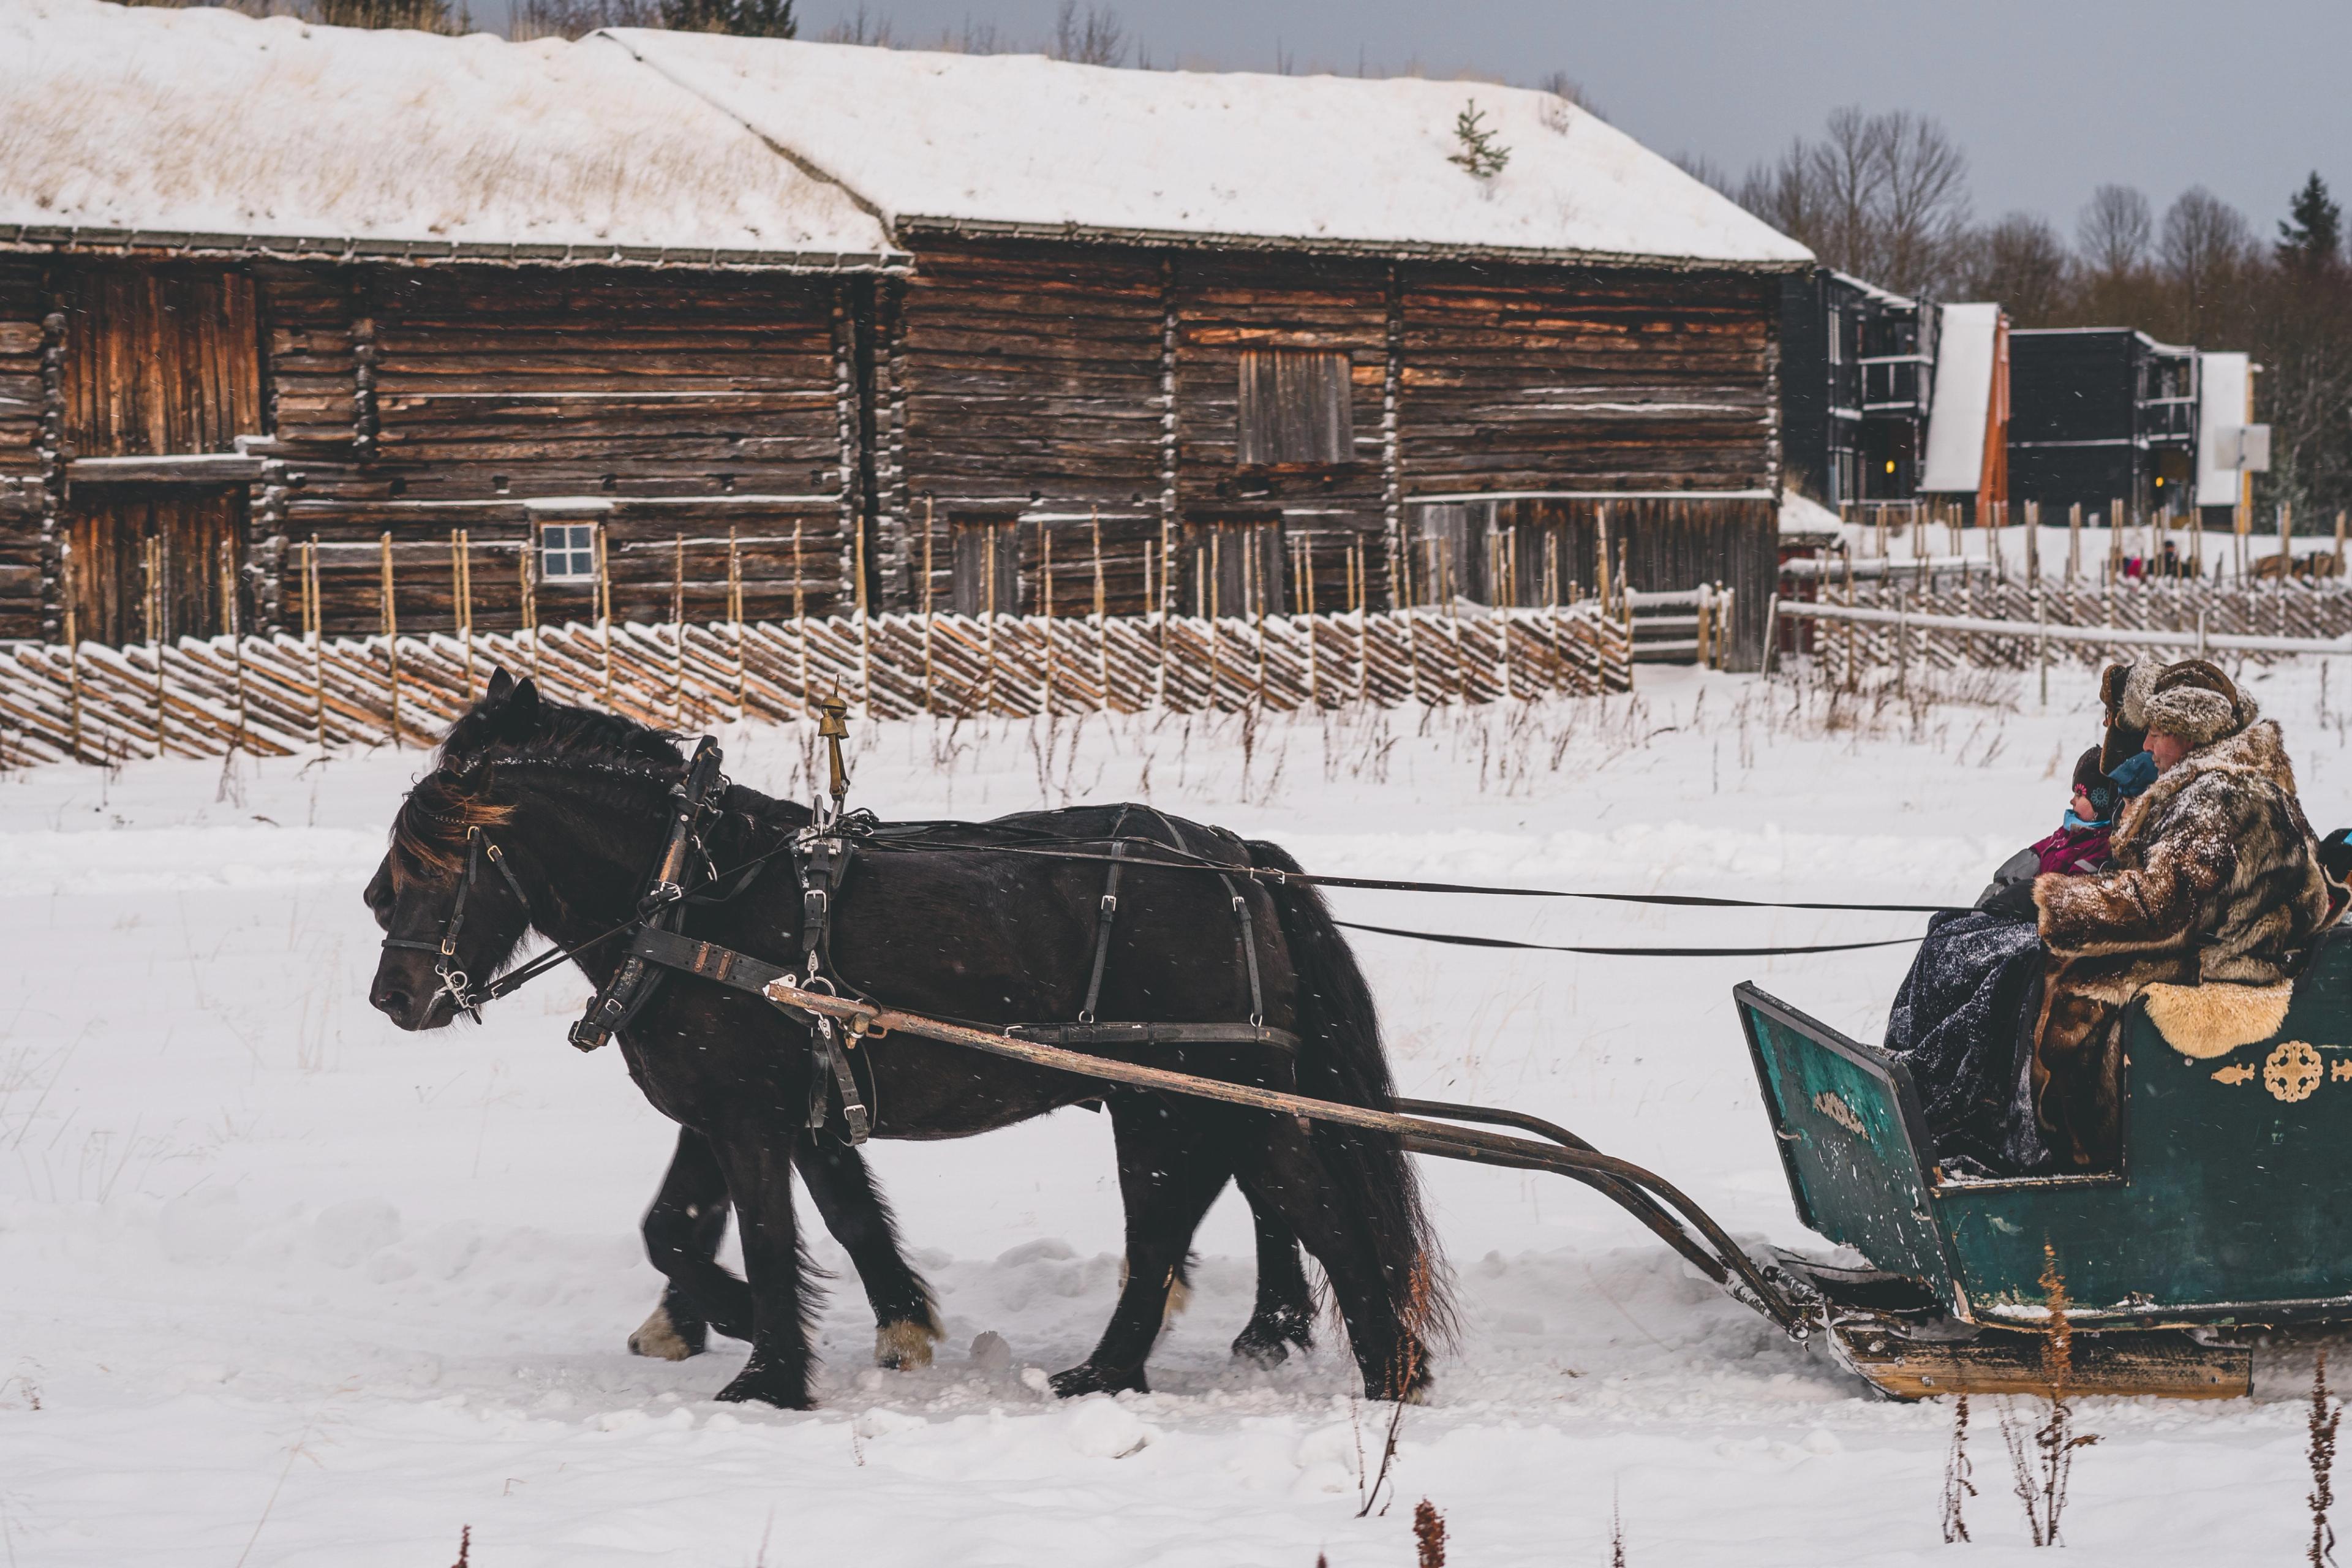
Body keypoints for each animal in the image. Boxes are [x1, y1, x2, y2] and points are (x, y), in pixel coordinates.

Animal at [367, 675, 1445, 1407]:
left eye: (436, 858)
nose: (391, 996)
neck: (690, 896)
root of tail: (1237, 861)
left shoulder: (744, 1118)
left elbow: (756, 1234)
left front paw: (764, 1365)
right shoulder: (778, 1110)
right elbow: (787, 1219)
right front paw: (891, 1326)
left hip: (1187, 1093)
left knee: (1255, 1216)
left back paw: (1343, 1369)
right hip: (1190, 1099)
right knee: (1230, 1213)